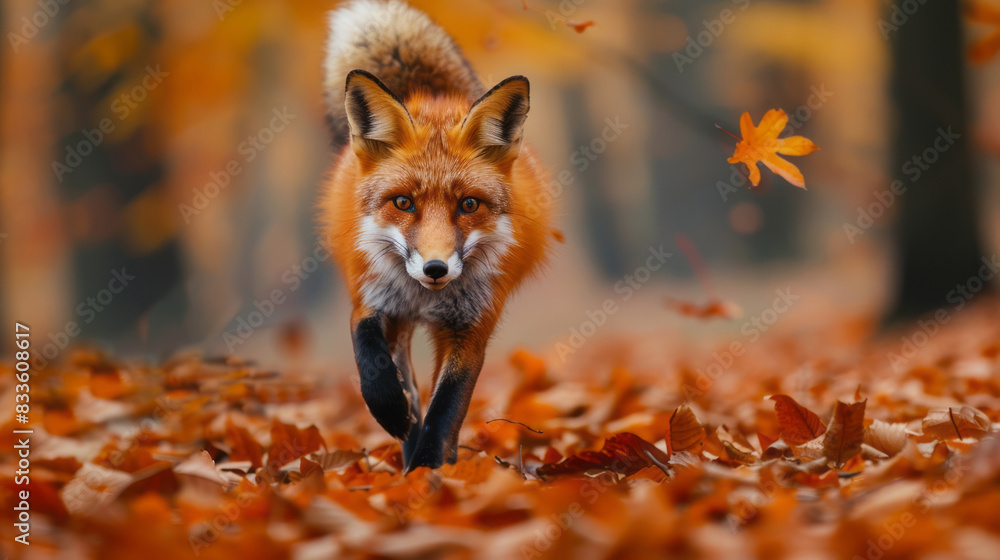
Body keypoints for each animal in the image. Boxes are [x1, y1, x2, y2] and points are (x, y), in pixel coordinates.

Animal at [319, 0, 554, 472]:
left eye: (468, 205)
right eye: (403, 202)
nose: (435, 268)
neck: (426, 298)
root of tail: (432, 97)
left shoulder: (471, 328)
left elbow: (446, 410)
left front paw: (428, 470)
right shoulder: (371, 300)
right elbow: (371, 361)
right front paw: (392, 414)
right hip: (397, 323)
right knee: (407, 381)